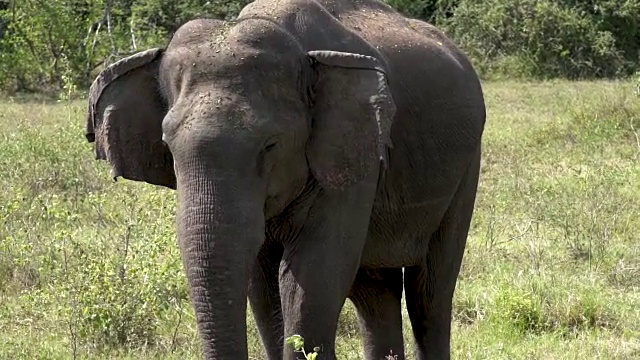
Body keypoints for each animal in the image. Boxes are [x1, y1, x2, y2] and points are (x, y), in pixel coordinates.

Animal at [84, 0, 484, 360]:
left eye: (270, 145)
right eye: (168, 145)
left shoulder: (352, 152)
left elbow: (311, 271)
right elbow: (261, 281)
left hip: (467, 166)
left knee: (430, 289)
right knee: (374, 289)